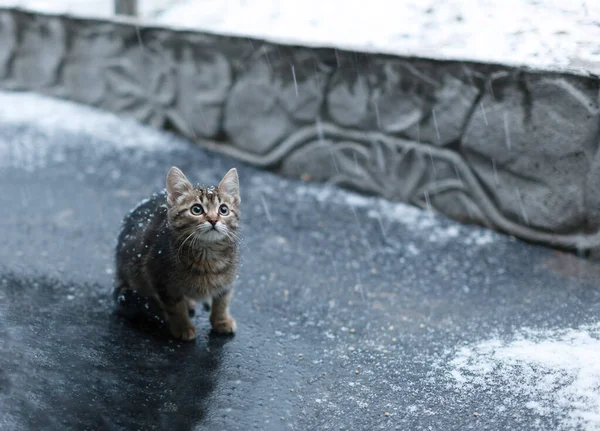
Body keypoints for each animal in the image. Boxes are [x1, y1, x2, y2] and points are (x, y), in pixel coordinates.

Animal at [113, 167, 240, 340]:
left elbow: (223, 300)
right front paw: (182, 326)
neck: (208, 254)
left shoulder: (228, 280)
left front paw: (221, 321)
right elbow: (175, 306)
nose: (213, 220)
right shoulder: (161, 278)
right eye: (196, 209)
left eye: (223, 209)